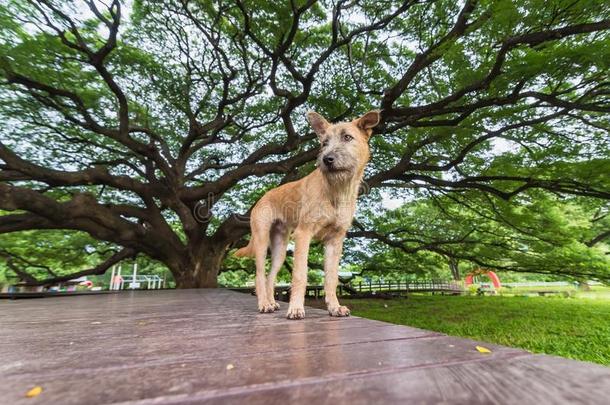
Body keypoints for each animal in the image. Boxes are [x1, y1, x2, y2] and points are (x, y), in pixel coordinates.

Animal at [235, 109, 378, 318]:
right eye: (324, 143)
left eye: (347, 137)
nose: (327, 159)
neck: (337, 190)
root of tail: (263, 197)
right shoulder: (303, 234)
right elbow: (300, 275)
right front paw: (295, 308)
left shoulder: (335, 241)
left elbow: (331, 278)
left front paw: (334, 307)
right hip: (261, 242)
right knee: (260, 275)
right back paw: (264, 304)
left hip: (280, 249)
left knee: (270, 277)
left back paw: (272, 302)